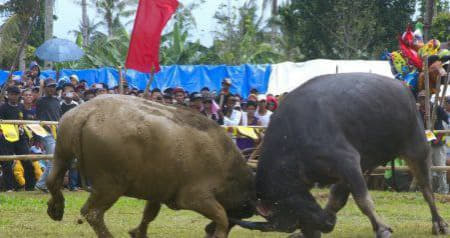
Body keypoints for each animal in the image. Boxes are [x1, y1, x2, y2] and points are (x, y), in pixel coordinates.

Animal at [48, 95, 256, 238]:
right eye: (242, 210)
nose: (208, 230)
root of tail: (87, 113)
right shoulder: (195, 197)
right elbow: (221, 215)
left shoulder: (158, 191)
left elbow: (150, 214)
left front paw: (137, 232)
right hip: (111, 185)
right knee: (92, 213)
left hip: (62, 153)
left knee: (52, 181)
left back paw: (55, 208)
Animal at [232, 73, 450, 238]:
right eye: (290, 225)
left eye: (291, 215)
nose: (323, 228)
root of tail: (404, 88)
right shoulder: (346, 170)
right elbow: (337, 199)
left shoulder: (347, 161)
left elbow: (362, 200)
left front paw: (382, 229)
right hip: (369, 159)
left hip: (417, 149)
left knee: (426, 188)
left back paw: (439, 223)